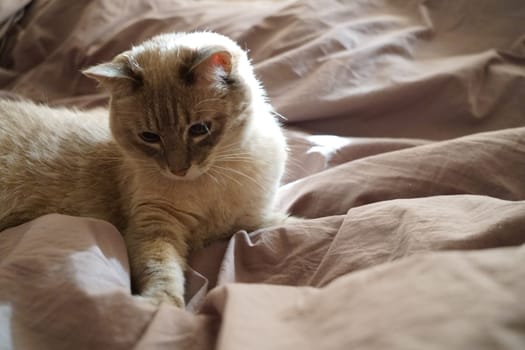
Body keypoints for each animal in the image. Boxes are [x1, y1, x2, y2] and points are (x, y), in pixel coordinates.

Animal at [0, 32, 286, 306]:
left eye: (199, 129)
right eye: (149, 137)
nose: (178, 170)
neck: (213, 178)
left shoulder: (253, 221)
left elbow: (284, 224)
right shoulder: (155, 224)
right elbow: (162, 269)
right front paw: (161, 305)